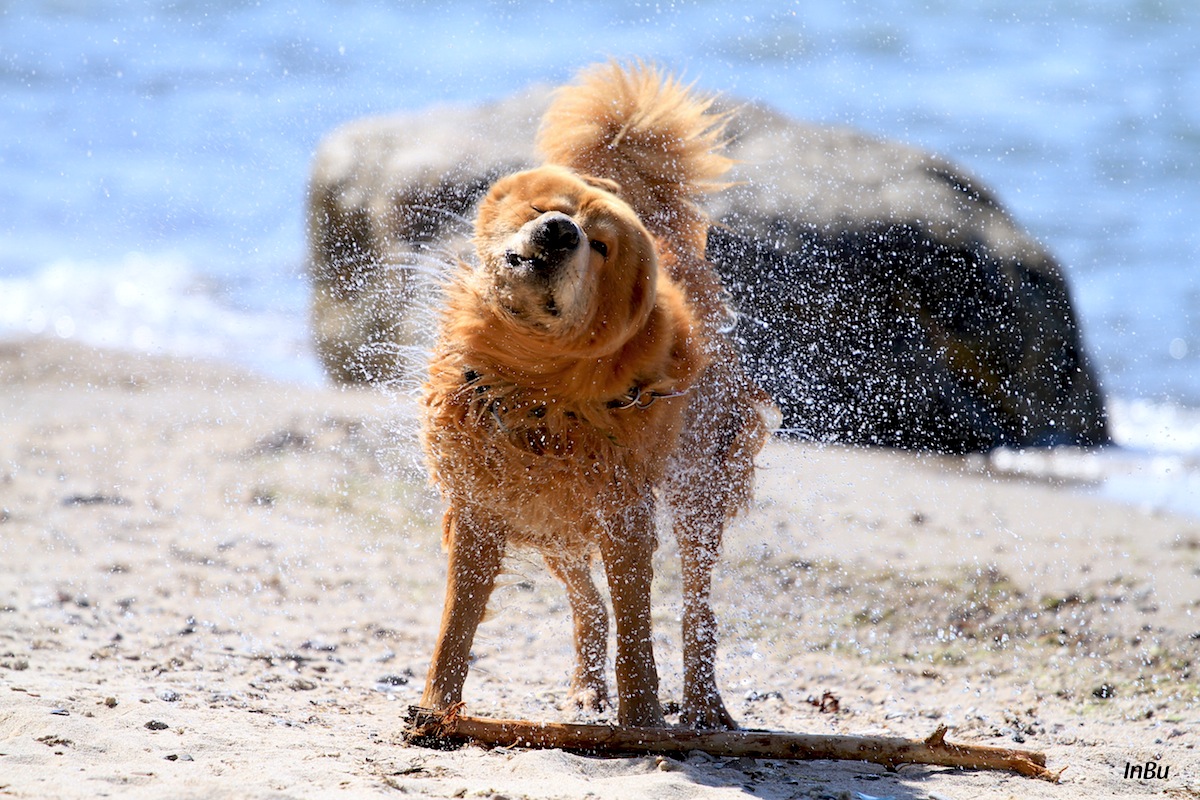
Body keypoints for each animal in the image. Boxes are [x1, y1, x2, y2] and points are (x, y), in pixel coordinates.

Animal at [422, 62, 772, 729]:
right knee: (588, 605)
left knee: (697, 608)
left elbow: (639, 626)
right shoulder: (481, 504)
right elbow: (457, 623)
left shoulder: (626, 513)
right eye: (547, 207)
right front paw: (434, 712)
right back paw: (586, 688)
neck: (537, 383)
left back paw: (703, 703)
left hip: (698, 484)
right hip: (551, 518)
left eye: (601, 246)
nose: (561, 231)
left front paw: (642, 721)